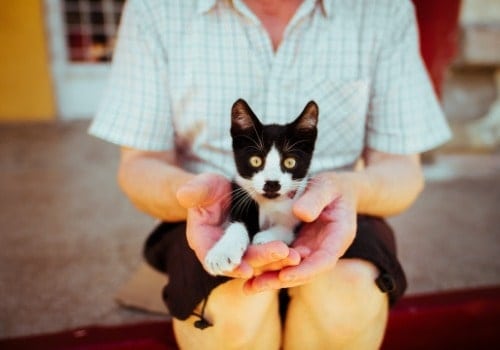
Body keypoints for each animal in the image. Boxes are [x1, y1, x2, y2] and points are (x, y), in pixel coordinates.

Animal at [204, 99, 318, 276]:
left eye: (290, 162)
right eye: (256, 160)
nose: (272, 183)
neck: (271, 202)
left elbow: (288, 228)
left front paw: (265, 237)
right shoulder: (240, 193)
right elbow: (237, 224)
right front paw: (222, 254)